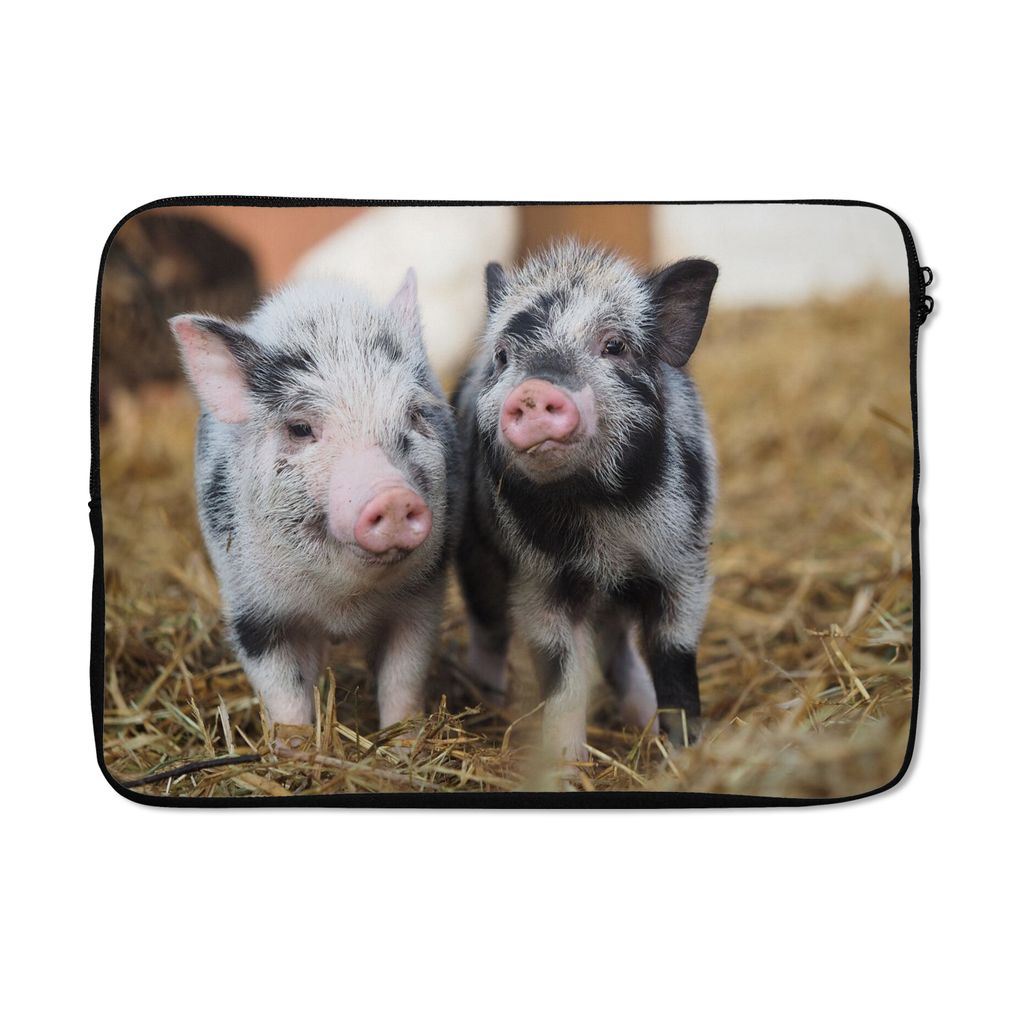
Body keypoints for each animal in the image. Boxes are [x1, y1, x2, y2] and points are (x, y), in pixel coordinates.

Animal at [169, 272, 462, 735]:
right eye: (300, 428)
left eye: (415, 415)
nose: (393, 496)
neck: (343, 604)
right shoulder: (251, 609)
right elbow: (284, 694)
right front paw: (296, 745)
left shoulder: (422, 598)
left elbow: (403, 678)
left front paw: (402, 738)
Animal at [454, 241, 718, 763]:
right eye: (503, 355)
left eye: (614, 345)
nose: (534, 390)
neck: (600, 515)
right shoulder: (539, 582)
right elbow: (563, 677)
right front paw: (565, 763)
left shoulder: (682, 565)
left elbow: (674, 658)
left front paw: (684, 752)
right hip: (476, 560)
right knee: (489, 630)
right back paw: (492, 702)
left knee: (619, 650)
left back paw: (641, 719)